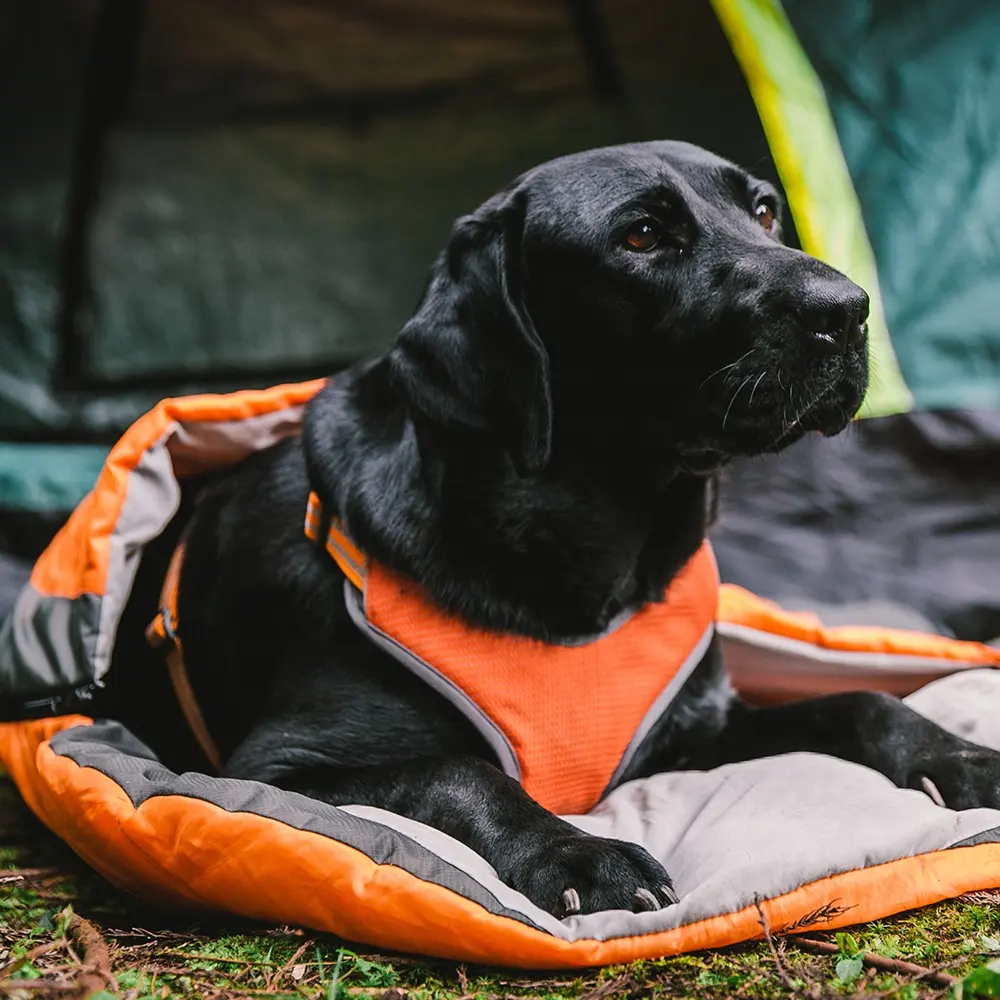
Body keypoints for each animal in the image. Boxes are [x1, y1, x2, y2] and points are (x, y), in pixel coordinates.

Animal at [97, 141, 1000, 920]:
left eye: (766, 209)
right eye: (642, 235)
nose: (847, 312)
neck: (588, 571)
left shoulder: (690, 734)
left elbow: (859, 698)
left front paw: (963, 756)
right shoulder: (275, 768)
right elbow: (462, 770)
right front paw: (580, 855)